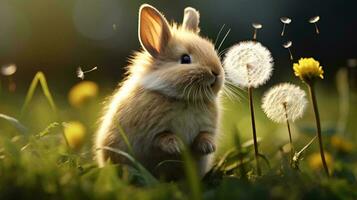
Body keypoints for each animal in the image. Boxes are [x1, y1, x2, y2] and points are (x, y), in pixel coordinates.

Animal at [94, 3, 222, 180]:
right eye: (185, 59)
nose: (216, 72)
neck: (183, 100)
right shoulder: (150, 135)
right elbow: (161, 138)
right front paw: (176, 146)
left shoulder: (206, 128)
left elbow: (204, 135)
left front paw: (209, 147)